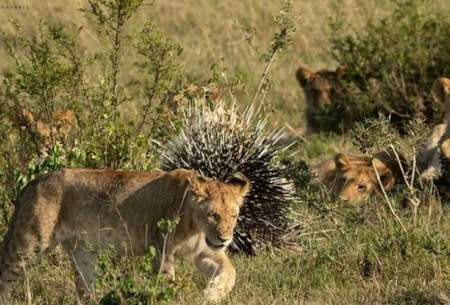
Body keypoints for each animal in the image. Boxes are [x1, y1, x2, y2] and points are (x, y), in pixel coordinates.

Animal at [0, 169, 250, 302]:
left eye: (234, 215)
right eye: (213, 215)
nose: (225, 239)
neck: (195, 227)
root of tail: (34, 182)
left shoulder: (205, 251)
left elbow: (231, 272)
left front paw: (212, 294)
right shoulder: (162, 251)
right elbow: (166, 285)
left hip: (83, 252)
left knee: (85, 288)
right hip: (30, 242)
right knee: (5, 271)